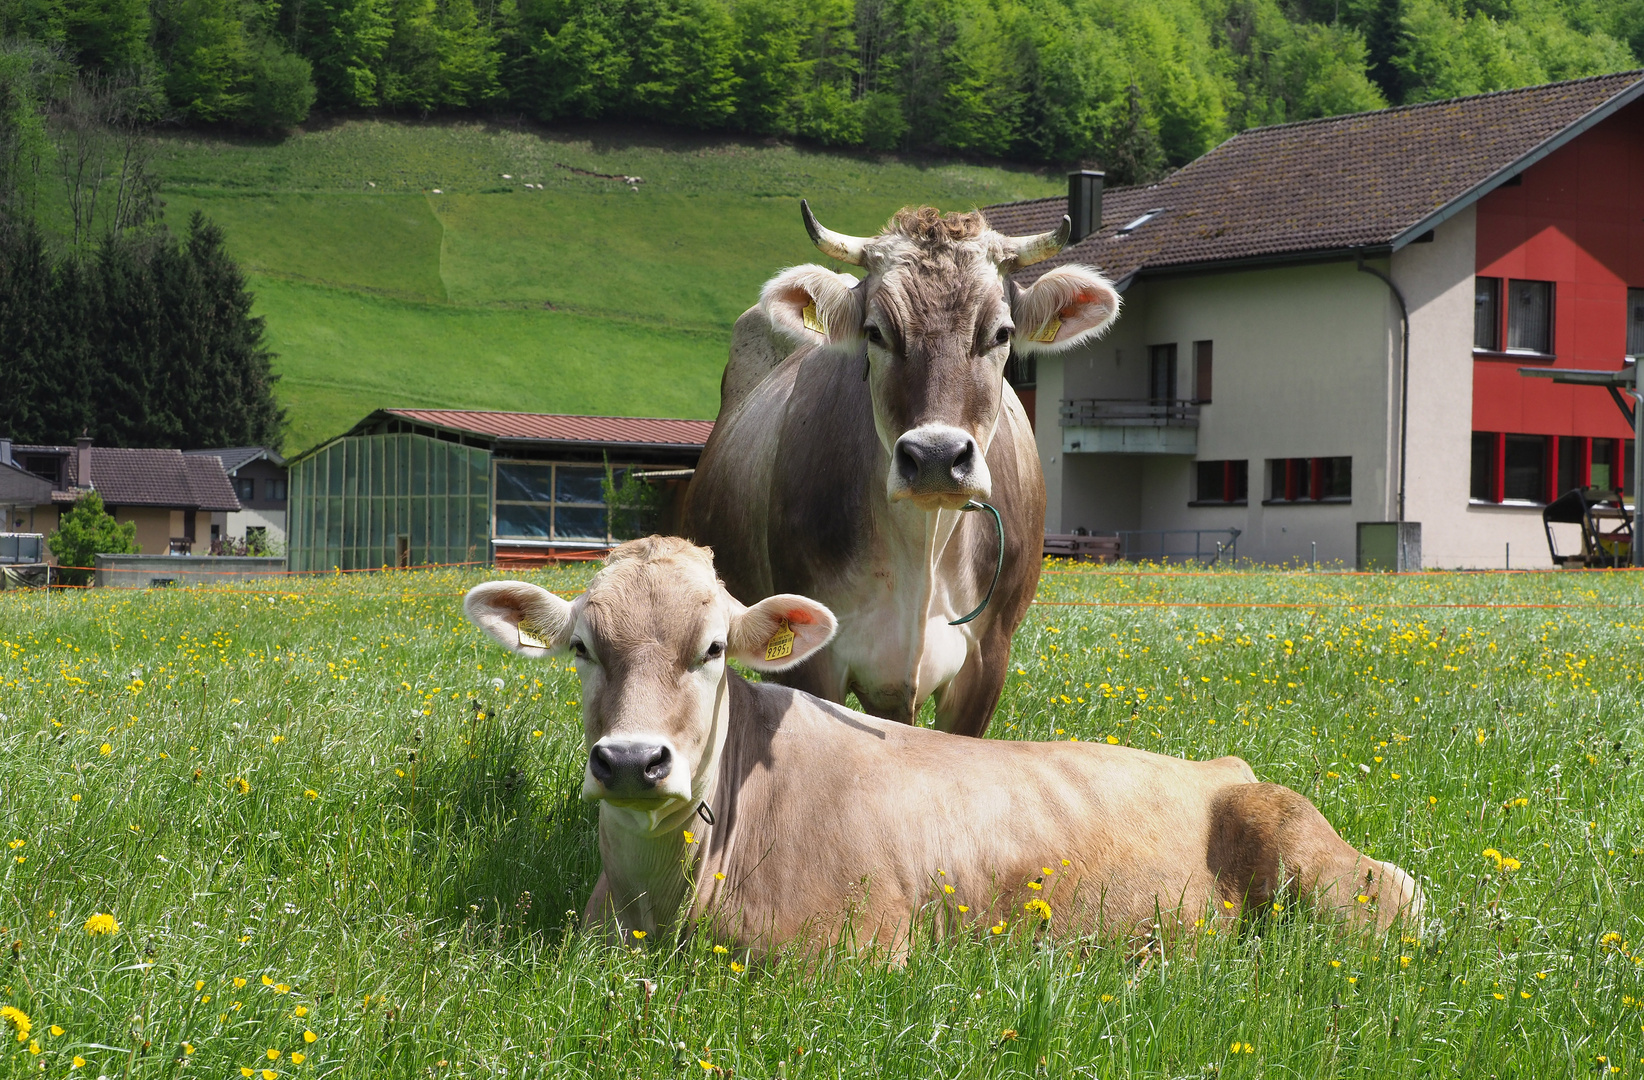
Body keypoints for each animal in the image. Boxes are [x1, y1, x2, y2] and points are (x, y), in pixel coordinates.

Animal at [466, 535, 1426, 953]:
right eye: (582, 647)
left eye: (710, 650)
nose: (632, 761)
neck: (664, 900)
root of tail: (1222, 767)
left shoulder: (856, 956)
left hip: (1333, 879)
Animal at [680, 202, 1117, 733]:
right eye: (875, 332)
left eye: (1001, 332)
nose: (936, 457)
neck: (922, 547)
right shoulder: (814, 659)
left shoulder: (989, 657)